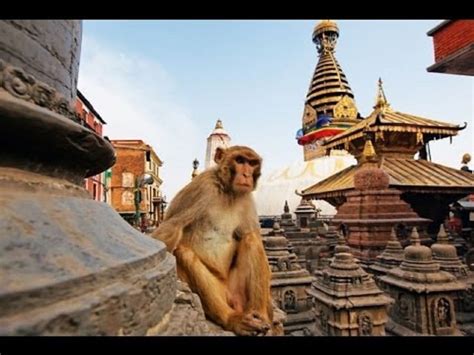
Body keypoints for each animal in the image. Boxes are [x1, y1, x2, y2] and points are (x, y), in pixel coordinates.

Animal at [152, 145, 280, 336]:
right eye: (240, 160)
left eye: (252, 163)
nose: (246, 175)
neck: (228, 192)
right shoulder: (201, 188)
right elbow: (171, 227)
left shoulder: (247, 199)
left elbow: (252, 235)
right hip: (219, 292)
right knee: (183, 252)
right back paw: (232, 319)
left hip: (238, 291)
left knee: (251, 238)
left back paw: (260, 315)